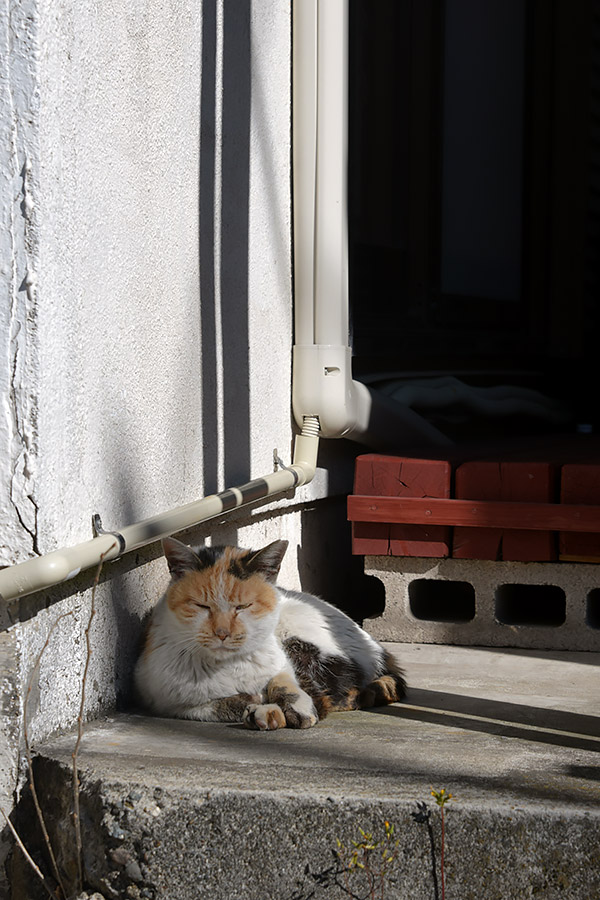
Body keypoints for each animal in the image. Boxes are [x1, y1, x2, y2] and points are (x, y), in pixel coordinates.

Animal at [134, 536, 406, 728]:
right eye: (202, 606)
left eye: (242, 607)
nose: (222, 632)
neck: (229, 665)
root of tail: (379, 649)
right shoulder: (161, 698)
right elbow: (203, 707)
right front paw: (248, 702)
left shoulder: (283, 663)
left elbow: (287, 683)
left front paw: (295, 708)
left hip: (299, 638)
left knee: (341, 694)